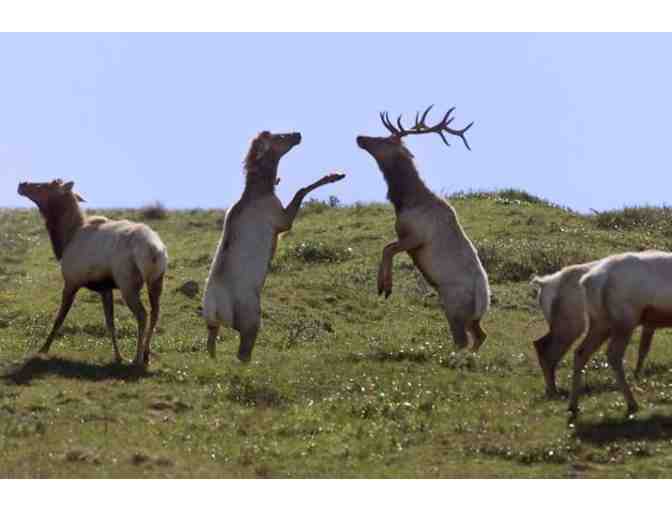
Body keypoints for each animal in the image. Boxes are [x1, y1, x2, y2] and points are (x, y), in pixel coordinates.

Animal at [202, 131, 345, 362]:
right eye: (278, 137)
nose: (297, 134)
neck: (263, 189)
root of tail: (213, 311)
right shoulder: (281, 221)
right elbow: (301, 190)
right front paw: (335, 175)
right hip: (251, 319)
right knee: (242, 353)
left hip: (213, 327)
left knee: (210, 346)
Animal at [356, 106, 490, 351]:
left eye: (384, 140)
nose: (360, 137)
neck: (404, 202)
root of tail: (483, 302)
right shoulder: (404, 236)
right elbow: (387, 246)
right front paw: (383, 286)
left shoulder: (416, 237)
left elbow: (387, 248)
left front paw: (385, 287)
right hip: (470, 318)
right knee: (481, 335)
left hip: (454, 306)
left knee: (462, 340)